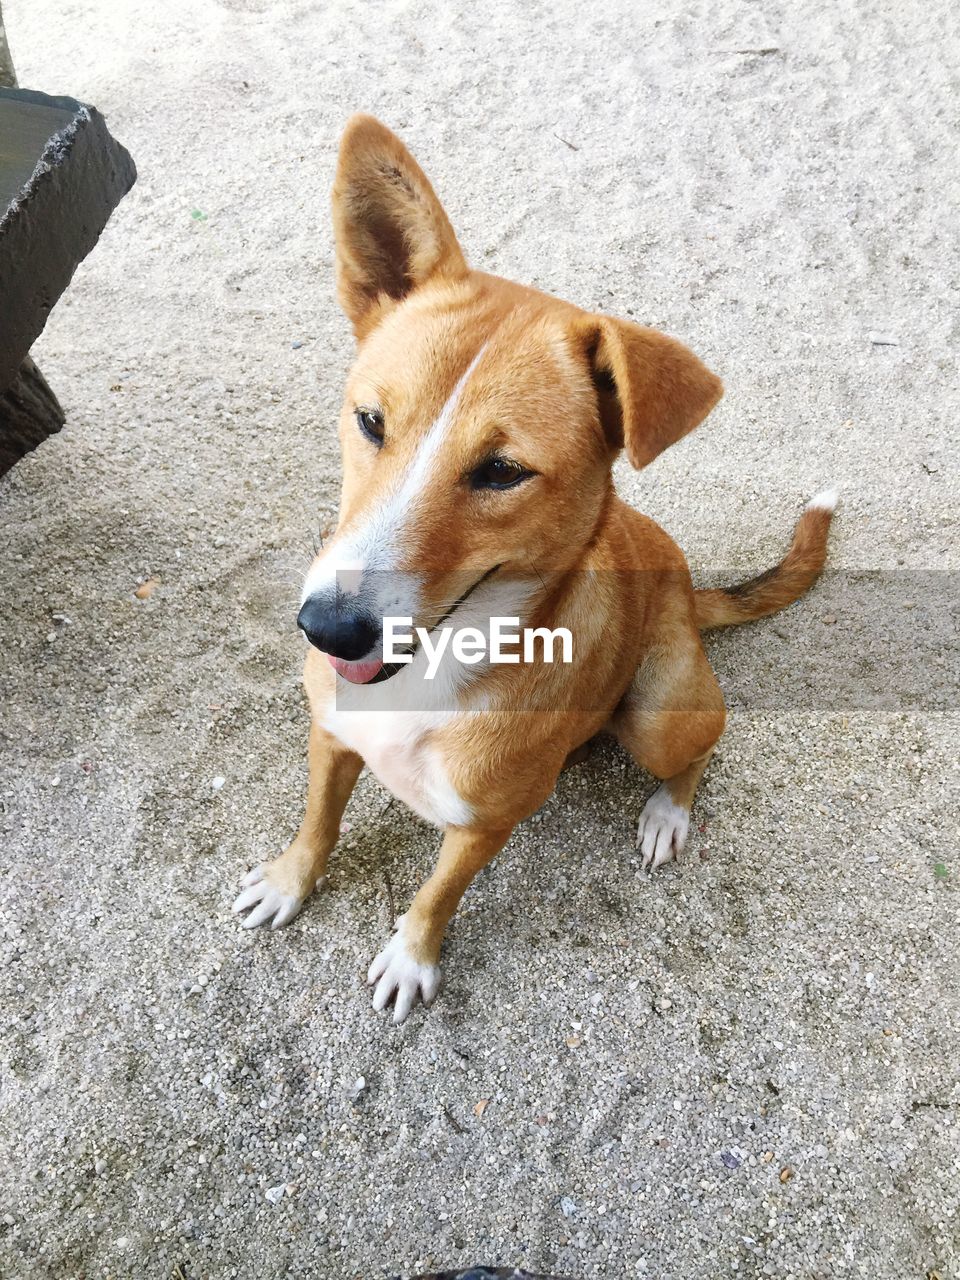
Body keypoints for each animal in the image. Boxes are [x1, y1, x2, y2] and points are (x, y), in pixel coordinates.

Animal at [231, 115, 834, 1024]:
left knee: (700, 748)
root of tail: (687, 586)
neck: (429, 674)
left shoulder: (483, 825)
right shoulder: (330, 739)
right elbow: (317, 824)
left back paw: (667, 812)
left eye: (502, 472)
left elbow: (435, 895)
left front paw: (411, 957)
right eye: (370, 421)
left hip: (661, 711)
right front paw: (288, 881)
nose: (327, 629)